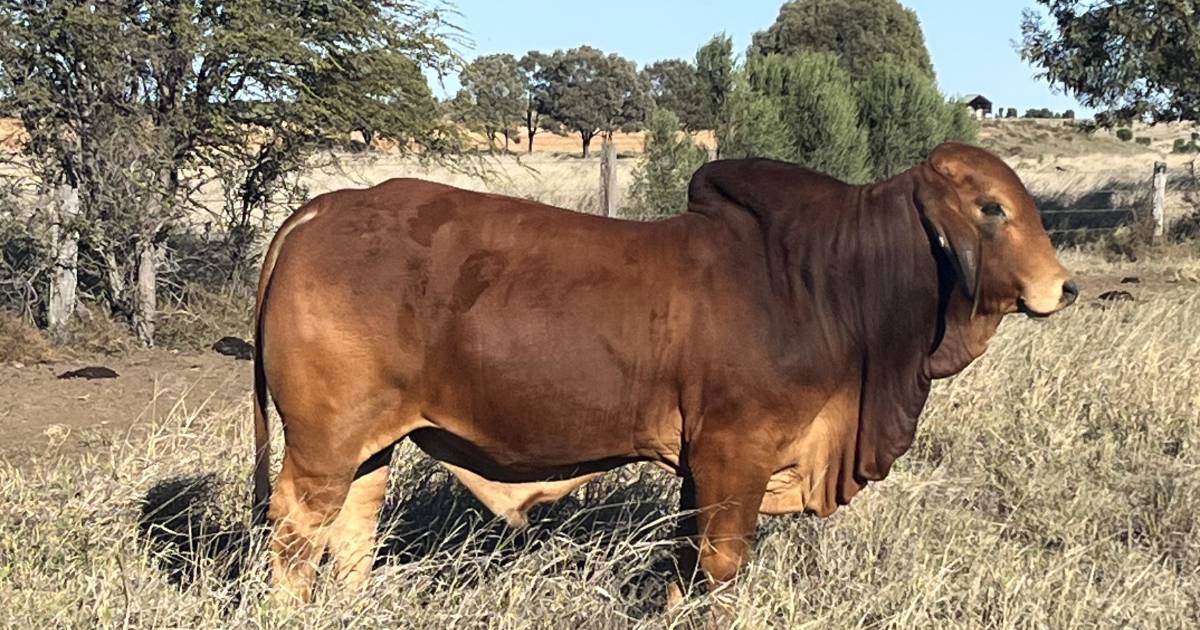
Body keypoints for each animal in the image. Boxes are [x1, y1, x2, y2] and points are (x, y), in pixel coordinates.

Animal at [253, 141, 1080, 600]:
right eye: (991, 207)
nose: (1064, 287)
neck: (829, 282)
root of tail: (322, 210)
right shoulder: (734, 456)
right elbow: (717, 567)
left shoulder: (702, 466)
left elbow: (685, 564)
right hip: (322, 445)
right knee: (295, 538)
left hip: (371, 445)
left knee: (352, 533)